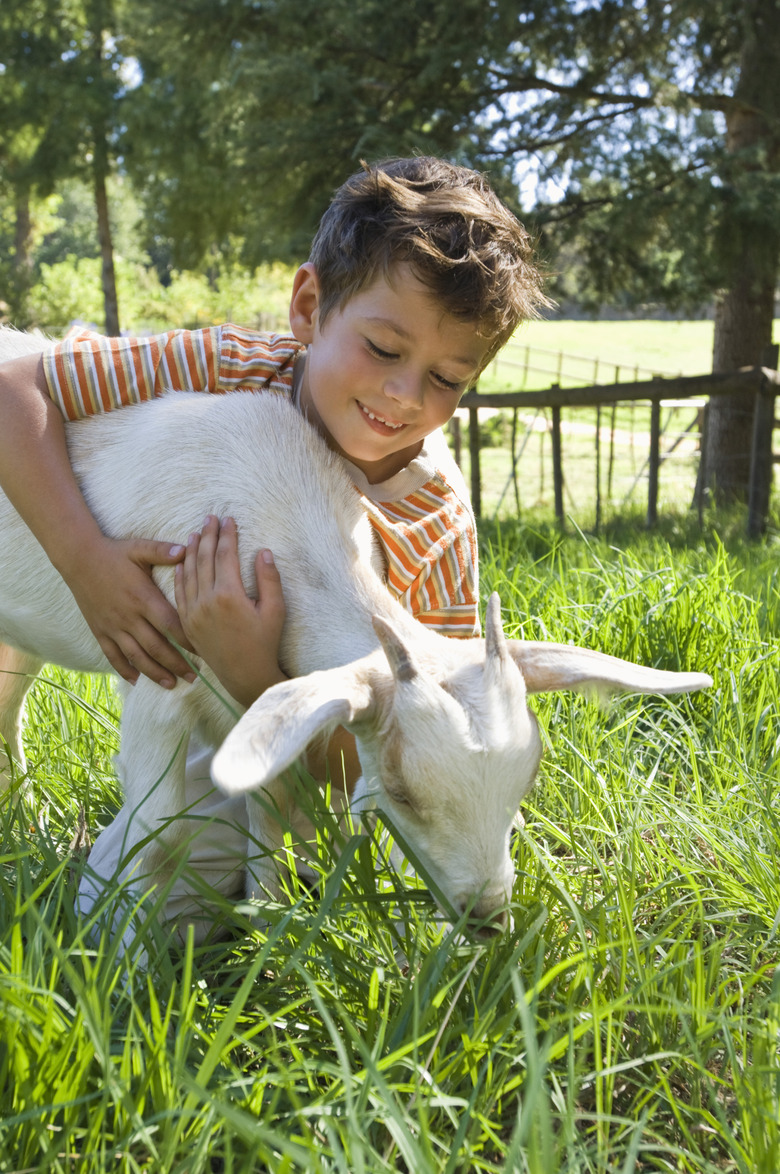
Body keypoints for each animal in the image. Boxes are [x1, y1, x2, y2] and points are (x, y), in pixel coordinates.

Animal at [1, 326, 714, 939]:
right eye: (400, 790)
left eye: (526, 781)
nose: (485, 917)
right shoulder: (159, 673)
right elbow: (158, 834)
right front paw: (122, 963)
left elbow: (270, 808)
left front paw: (266, 923)